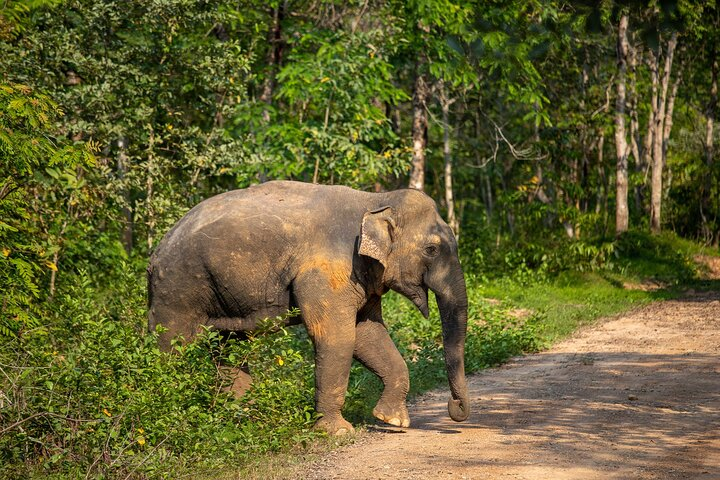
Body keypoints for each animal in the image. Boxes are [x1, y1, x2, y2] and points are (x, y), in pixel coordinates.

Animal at [147, 180, 469, 435]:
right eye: (432, 249)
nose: (454, 408)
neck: (374, 201)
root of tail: (156, 250)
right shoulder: (330, 270)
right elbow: (337, 337)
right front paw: (337, 432)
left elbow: (368, 335)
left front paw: (393, 421)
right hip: (177, 289)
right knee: (173, 346)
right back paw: (170, 411)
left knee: (228, 347)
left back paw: (245, 418)